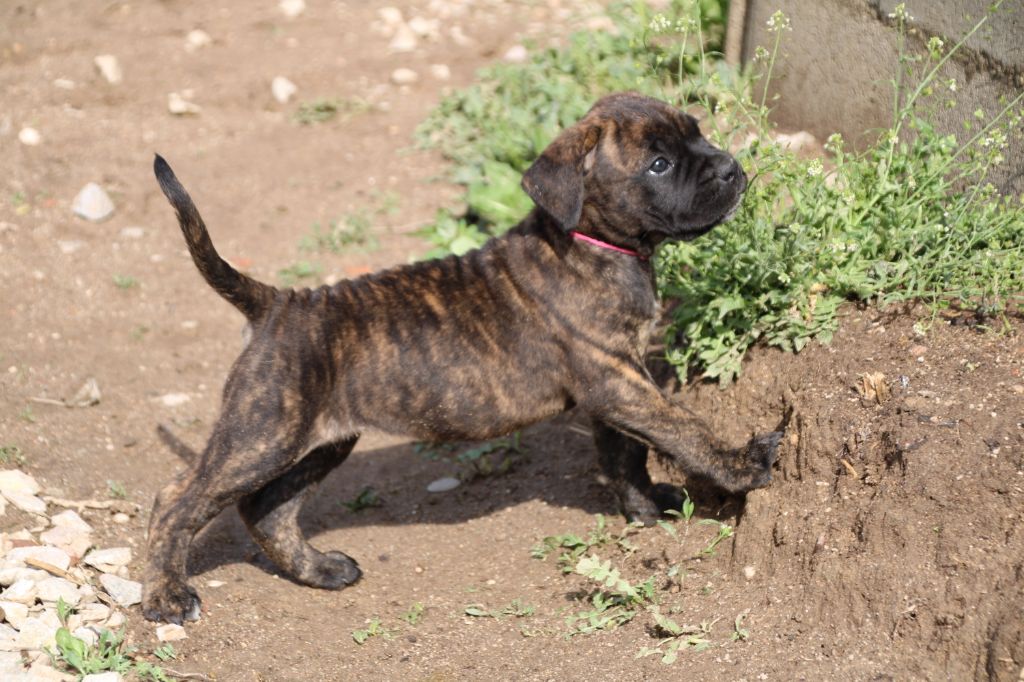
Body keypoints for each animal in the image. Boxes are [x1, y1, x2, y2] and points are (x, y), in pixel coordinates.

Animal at [144, 92, 781, 625]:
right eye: (658, 165)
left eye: (697, 133)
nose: (730, 168)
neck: (595, 244)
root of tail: (277, 304)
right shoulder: (619, 381)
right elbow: (683, 428)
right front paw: (742, 464)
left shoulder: (617, 385)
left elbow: (625, 454)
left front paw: (644, 507)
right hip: (262, 435)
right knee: (177, 498)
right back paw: (167, 596)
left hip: (320, 440)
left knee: (267, 507)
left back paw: (319, 570)